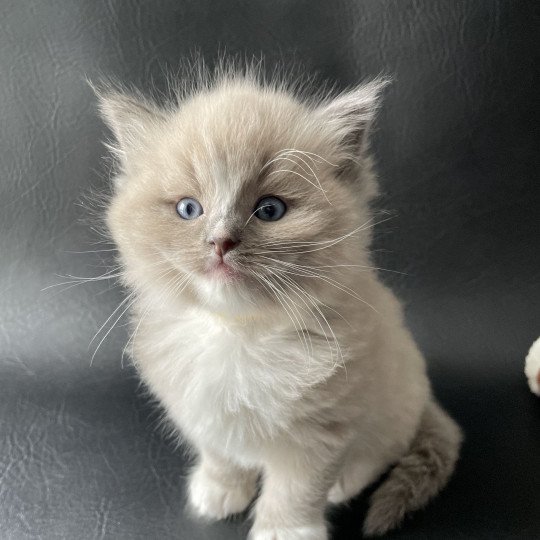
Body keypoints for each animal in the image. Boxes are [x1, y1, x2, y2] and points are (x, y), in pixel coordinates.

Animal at [95, 65, 462, 536]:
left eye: (269, 210)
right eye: (189, 209)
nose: (220, 242)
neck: (238, 333)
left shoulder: (321, 431)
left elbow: (295, 490)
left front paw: (283, 530)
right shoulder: (202, 410)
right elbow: (222, 457)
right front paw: (219, 492)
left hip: (394, 405)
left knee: (378, 455)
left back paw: (344, 485)